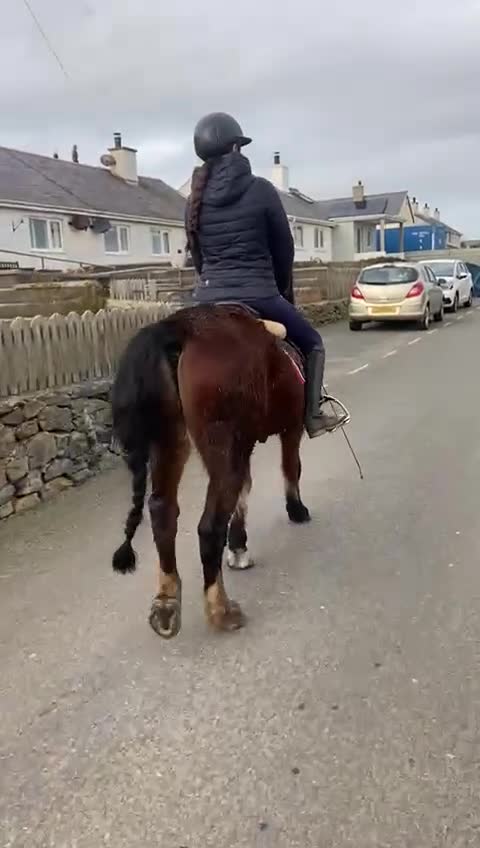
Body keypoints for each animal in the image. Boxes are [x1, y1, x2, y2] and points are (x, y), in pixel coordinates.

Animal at [111, 304, 312, 639]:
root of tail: (177, 329)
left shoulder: (245, 444)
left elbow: (245, 490)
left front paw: (239, 547)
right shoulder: (290, 428)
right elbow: (290, 467)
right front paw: (296, 510)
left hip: (169, 442)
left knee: (163, 510)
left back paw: (166, 604)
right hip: (221, 444)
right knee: (209, 526)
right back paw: (221, 609)